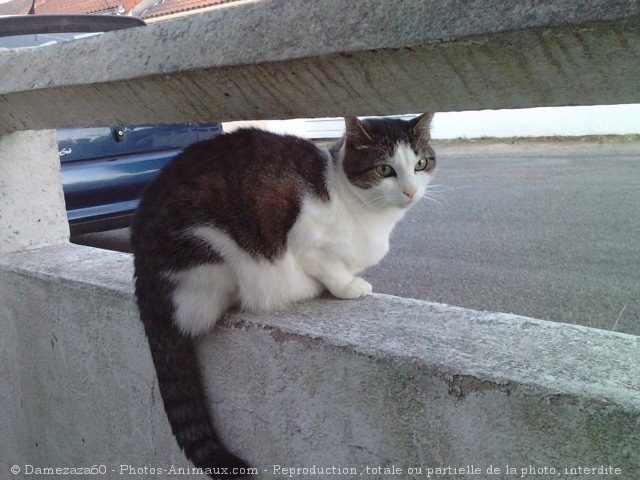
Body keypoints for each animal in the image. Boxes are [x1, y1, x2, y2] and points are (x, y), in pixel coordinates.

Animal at [132, 112, 438, 476]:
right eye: (384, 169)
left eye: (420, 164)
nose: (410, 191)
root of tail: (145, 282)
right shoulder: (307, 243)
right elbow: (331, 270)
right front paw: (350, 287)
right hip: (211, 252)